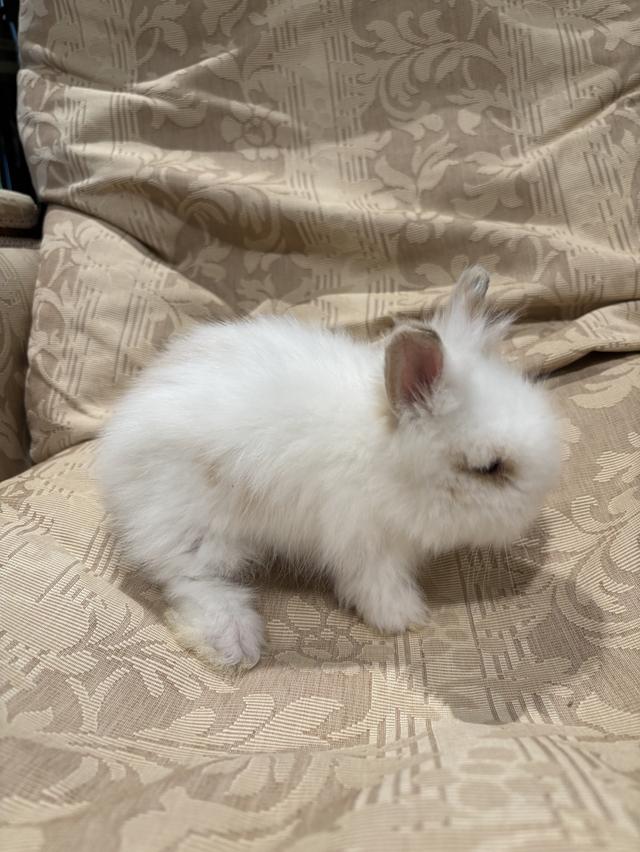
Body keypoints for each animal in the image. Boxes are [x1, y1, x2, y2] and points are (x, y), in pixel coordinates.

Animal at [97, 266, 560, 668]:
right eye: (488, 467)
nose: (535, 509)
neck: (383, 457)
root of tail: (117, 443)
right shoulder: (365, 543)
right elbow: (378, 586)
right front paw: (405, 619)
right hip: (199, 527)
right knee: (186, 578)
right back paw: (233, 641)